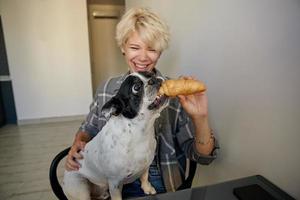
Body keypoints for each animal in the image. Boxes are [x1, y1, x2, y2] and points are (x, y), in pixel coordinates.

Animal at [62, 72, 169, 200]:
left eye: (151, 74)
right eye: (136, 88)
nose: (154, 79)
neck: (140, 131)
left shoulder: (145, 166)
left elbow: (144, 177)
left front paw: (147, 188)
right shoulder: (115, 182)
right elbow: (117, 196)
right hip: (80, 186)